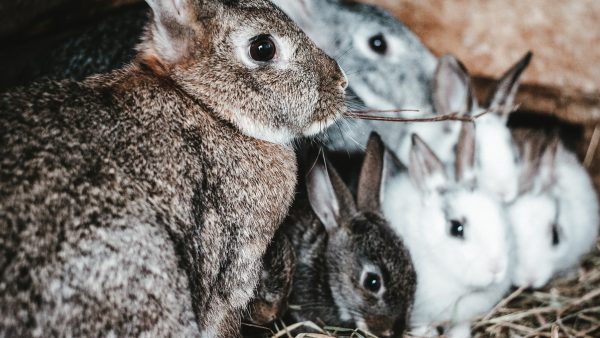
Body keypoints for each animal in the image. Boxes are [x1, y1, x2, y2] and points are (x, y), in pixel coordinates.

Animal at [384, 123, 510, 338]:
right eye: (456, 228)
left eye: (499, 214)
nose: (496, 267)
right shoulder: (420, 314)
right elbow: (422, 327)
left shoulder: (462, 317)